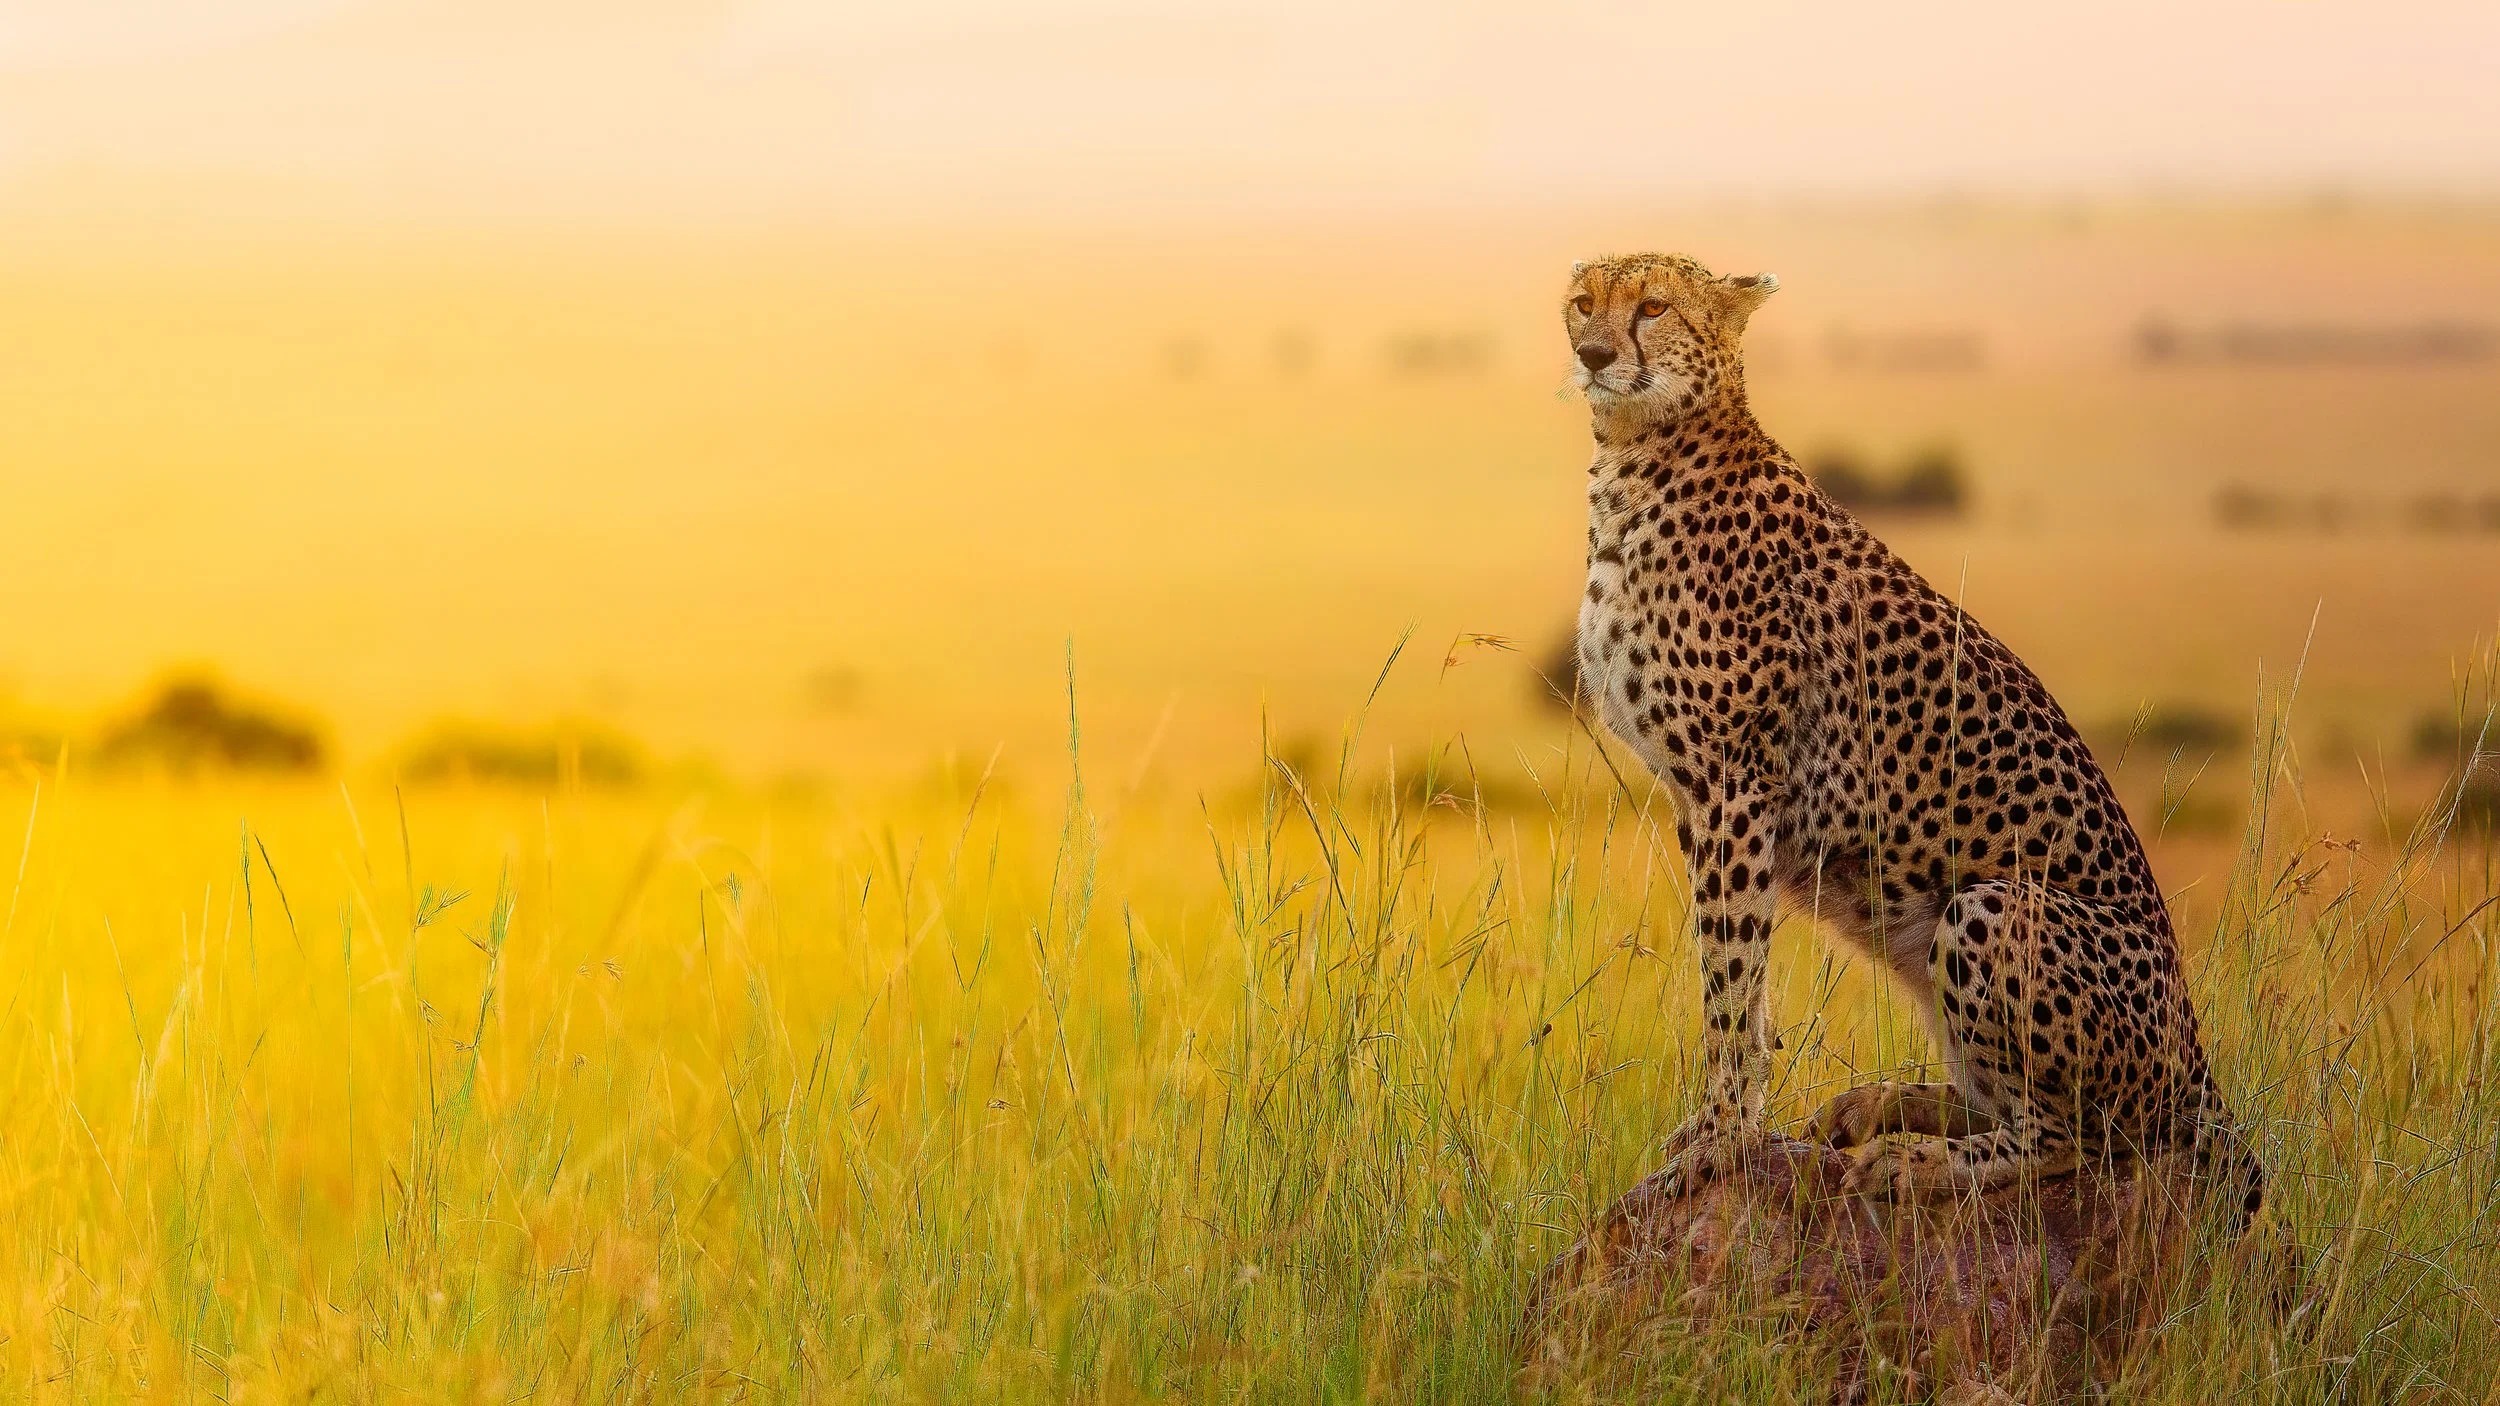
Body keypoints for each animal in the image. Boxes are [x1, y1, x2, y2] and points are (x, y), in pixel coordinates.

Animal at [1562, 251, 2263, 1223]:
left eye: (1655, 306)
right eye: (1582, 303)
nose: (1592, 353)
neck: (1639, 455)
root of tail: (2198, 1059)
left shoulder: (1736, 784)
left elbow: (1731, 985)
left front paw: (1720, 1140)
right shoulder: (1699, 797)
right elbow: (1737, 980)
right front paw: (1725, 1127)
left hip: (1994, 906)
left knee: (2072, 1138)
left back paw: (1914, 1160)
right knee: (2001, 1099)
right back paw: (1879, 1105)